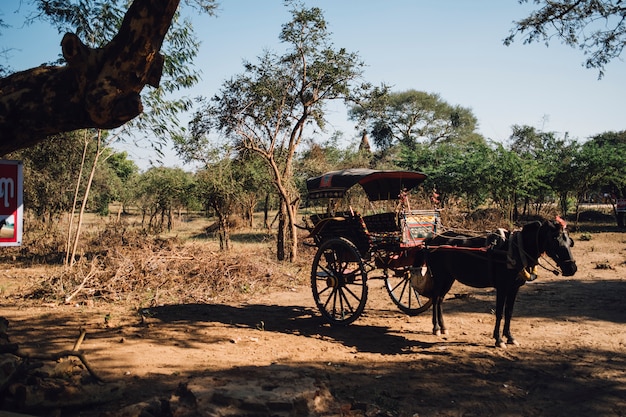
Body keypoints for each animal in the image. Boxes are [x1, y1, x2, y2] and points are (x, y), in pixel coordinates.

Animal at [424, 218, 576, 348]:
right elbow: (499, 313)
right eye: (555, 240)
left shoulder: (514, 288)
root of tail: (434, 239)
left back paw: (443, 327)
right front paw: (498, 340)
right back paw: (436, 328)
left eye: (569, 242)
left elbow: (509, 312)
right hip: (439, 277)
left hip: (449, 278)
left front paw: (509, 337)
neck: (515, 250)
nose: (572, 268)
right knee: (436, 299)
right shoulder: (502, 288)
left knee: (440, 299)